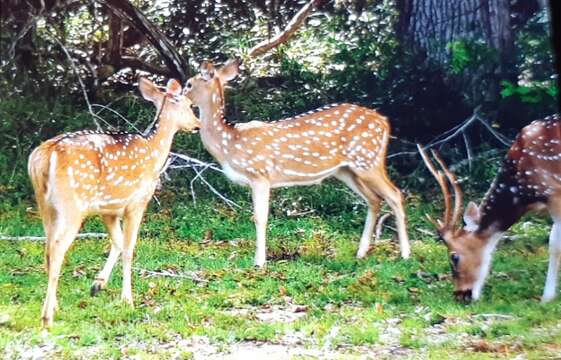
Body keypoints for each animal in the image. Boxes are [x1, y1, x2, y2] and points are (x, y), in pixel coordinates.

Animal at [28, 78, 200, 326]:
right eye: (189, 104)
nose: (197, 124)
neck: (154, 153)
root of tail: (43, 155)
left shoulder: (109, 209)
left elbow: (117, 242)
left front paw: (97, 285)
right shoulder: (137, 202)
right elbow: (129, 248)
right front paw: (127, 300)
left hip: (45, 206)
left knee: (48, 248)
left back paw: (55, 305)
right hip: (72, 205)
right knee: (58, 248)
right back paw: (47, 316)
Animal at [186, 59, 410, 268]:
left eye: (189, 84)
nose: (180, 95)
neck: (229, 143)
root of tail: (384, 122)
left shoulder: (260, 173)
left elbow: (260, 217)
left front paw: (259, 262)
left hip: (368, 159)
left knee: (394, 194)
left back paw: (405, 254)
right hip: (346, 170)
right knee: (374, 199)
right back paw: (361, 252)